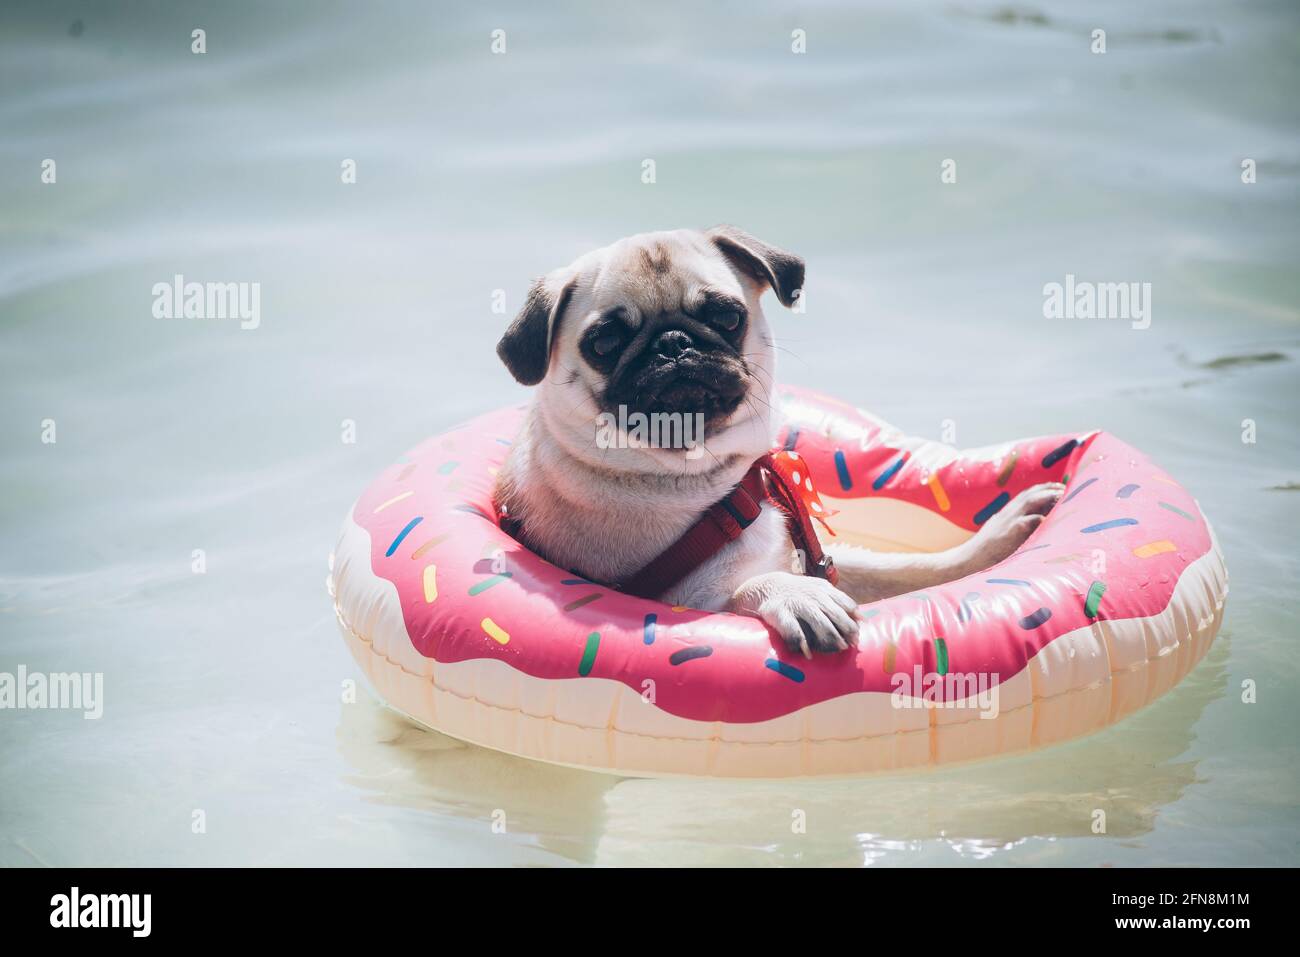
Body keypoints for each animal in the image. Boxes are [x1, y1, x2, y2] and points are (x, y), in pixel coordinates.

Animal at [491, 226, 1060, 657]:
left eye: (726, 316)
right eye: (605, 342)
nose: (673, 344)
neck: (709, 482)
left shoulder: (815, 554)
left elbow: (902, 569)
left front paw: (994, 539)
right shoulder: (679, 596)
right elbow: (745, 589)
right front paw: (796, 597)